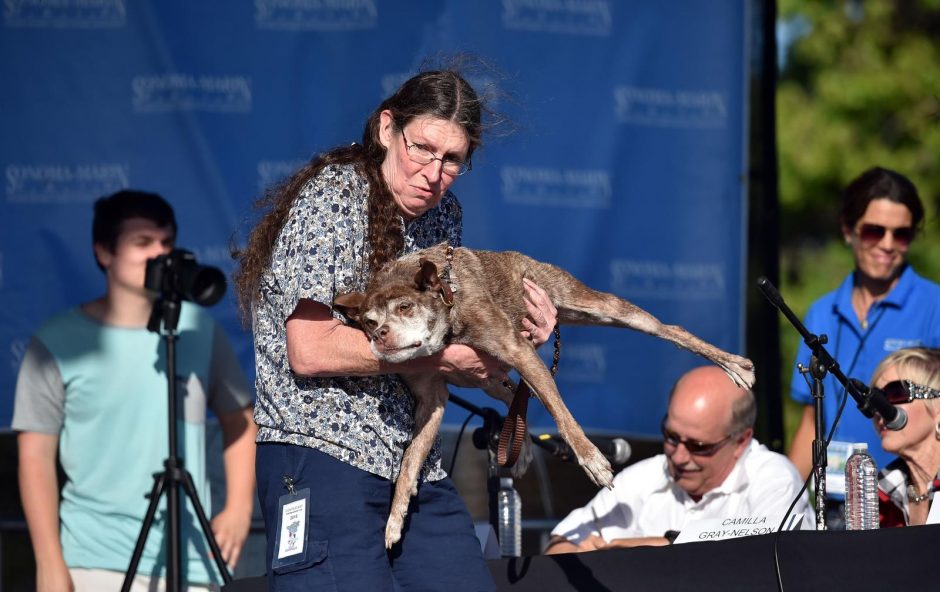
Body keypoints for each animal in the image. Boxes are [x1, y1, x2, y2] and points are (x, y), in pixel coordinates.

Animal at [332, 240, 756, 544]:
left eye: (405, 307)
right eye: (368, 322)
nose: (380, 336)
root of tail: (521, 258)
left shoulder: (520, 351)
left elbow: (562, 416)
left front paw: (592, 459)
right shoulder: (432, 398)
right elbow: (408, 468)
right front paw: (395, 519)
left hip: (593, 305)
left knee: (670, 329)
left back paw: (733, 365)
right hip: (487, 375)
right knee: (513, 398)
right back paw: (519, 449)